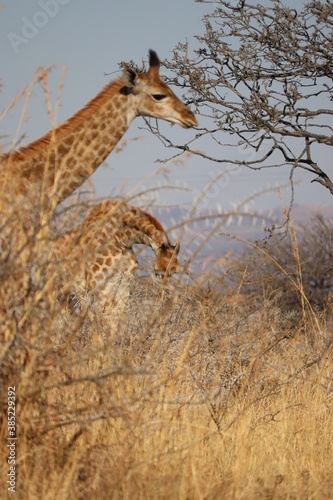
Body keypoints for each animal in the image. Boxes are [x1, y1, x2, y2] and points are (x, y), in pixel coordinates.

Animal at [47, 198, 179, 312]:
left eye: (175, 271)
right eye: (156, 269)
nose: (164, 297)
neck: (121, 240)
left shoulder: (123, 289)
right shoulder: (100, 289)